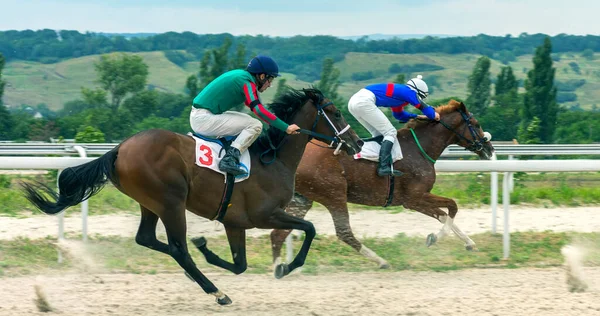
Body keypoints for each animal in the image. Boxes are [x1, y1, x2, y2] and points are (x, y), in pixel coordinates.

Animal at [21, 87, 360, 304]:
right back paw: (217, 292)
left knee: (147, 238)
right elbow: (310, 229)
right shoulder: (265, 215)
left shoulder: (235, 222)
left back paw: (198, 271)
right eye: (335, 112)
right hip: (171, 203)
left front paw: (209, 252)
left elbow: (240, 264)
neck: (273, 159)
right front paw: (285, 267)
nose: (356, 143)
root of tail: (118, 150)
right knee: (177, 248)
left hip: (151, 203)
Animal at [270, 99, 494, 270]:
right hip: (334, 194)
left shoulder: (417, 199)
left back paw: (279, 267)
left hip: (303, 199)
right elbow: (451, 208)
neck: (420, 148)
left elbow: (444, 214)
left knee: (278, 233)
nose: (489, 148)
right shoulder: (414, 198)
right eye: (475, 124)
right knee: (344, 232)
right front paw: (434, 239)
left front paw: (469, 243)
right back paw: (381, 261)